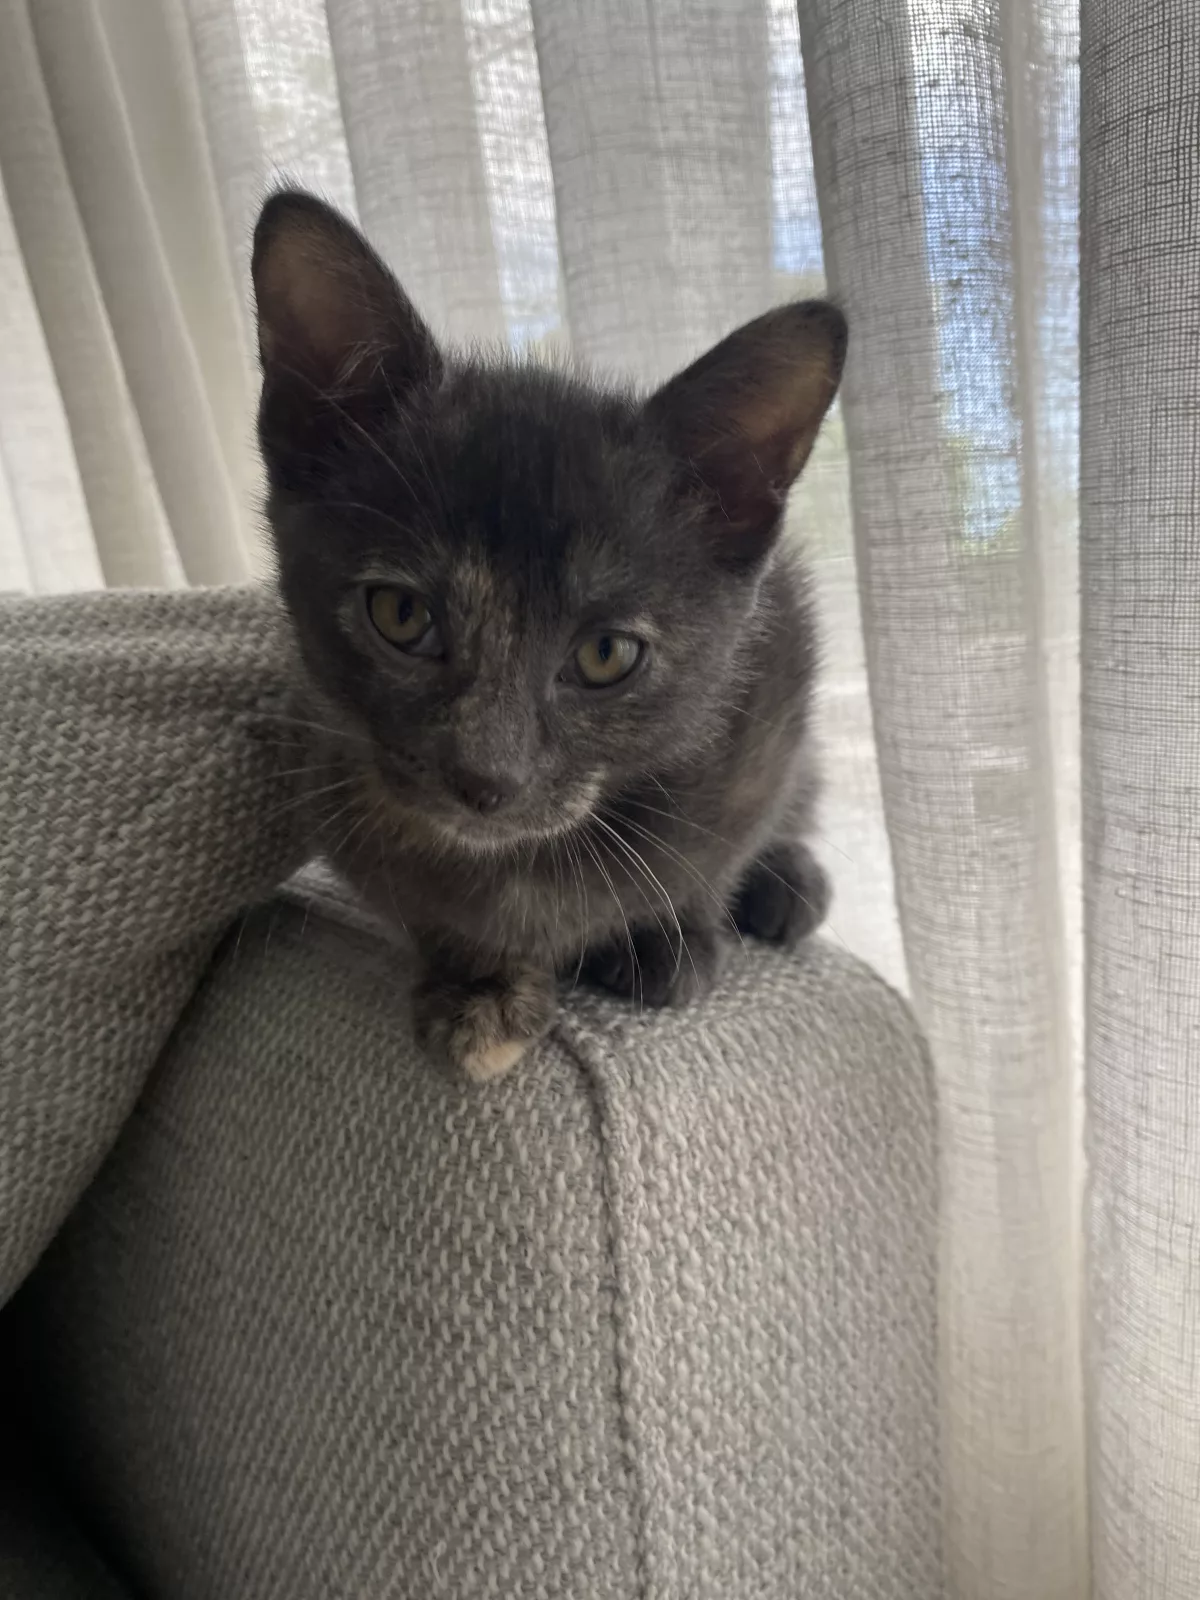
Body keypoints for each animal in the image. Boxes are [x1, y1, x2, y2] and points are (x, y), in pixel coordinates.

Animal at [252, 188, 845, 1082]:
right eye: (401, 616)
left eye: (606, 655)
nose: (485, 778)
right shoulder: (319, 749)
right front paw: (480, 984)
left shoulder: (771, 702)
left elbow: (720, 847)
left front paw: (665, 932)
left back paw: (788, 882)